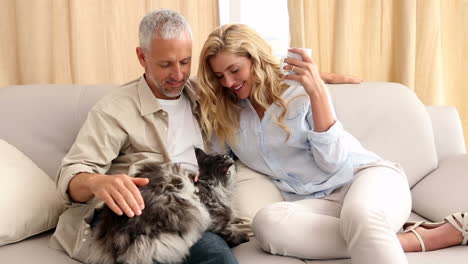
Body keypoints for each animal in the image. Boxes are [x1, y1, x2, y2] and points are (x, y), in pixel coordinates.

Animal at [87, 147, 249, 264]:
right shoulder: (213, 217)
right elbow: (229, 231)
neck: (221, 188)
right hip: (186, 212)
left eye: (226, 156)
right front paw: (244, 237)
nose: (228, 157)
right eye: (217, 158)